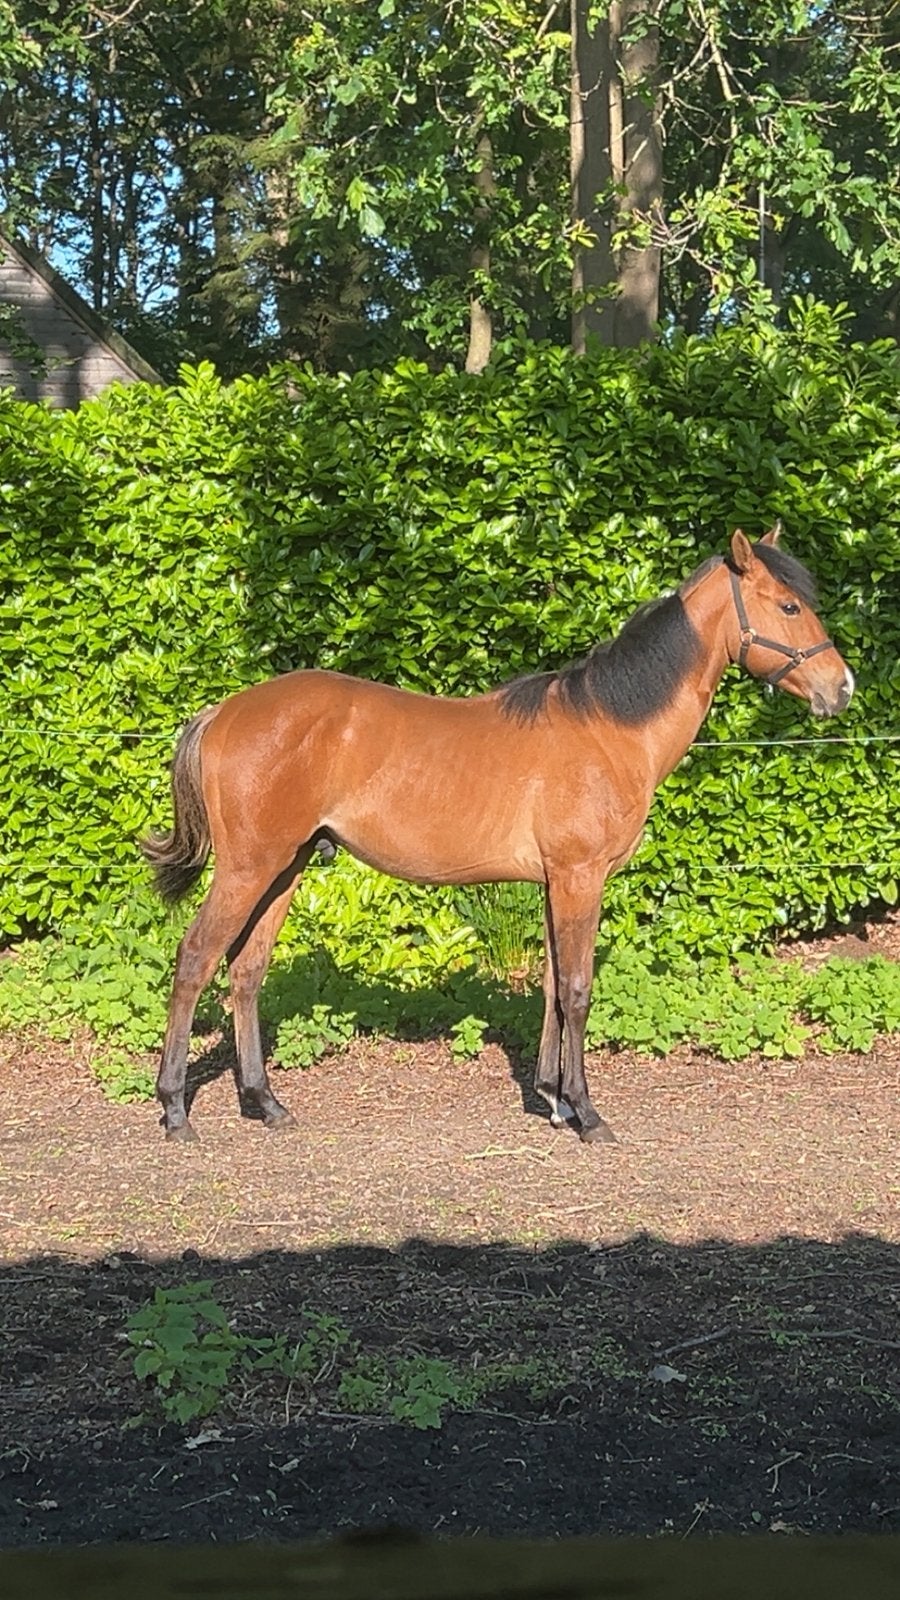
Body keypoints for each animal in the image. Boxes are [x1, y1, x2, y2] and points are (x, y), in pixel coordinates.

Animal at [142, 527, 853, 1145]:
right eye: (789, 605)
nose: (841, 688)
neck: (610, 727)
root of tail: (223, 712)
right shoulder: (579, 876)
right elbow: (577, 988)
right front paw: (588, 1114)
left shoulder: (554, 882)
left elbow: (552, 984)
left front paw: (555, 1099)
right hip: (248, 868)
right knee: (195, 959)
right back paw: (175, 1109)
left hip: (283, 869)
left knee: (246, 971)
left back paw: (265, 1102)